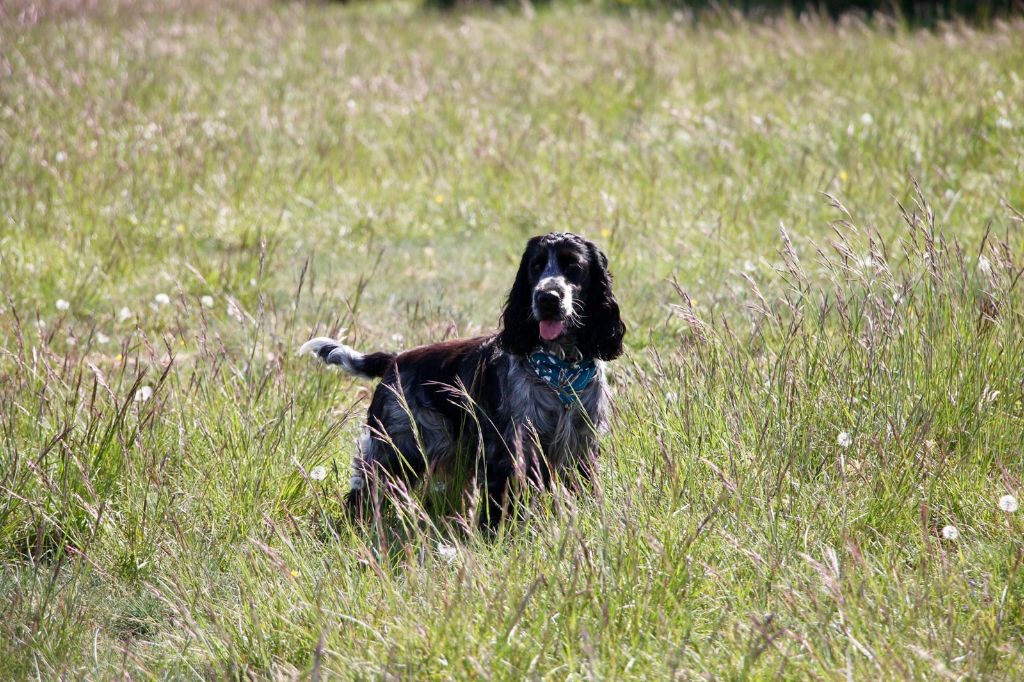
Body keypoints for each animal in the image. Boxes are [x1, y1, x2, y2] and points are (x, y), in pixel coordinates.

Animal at [299, 232, 622, 524]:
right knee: (363, 492)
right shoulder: (511, 448)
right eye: (536, 266)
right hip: (398, 448)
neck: (560, 371)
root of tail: (394, 360)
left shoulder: (581, 444)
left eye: (572, 265)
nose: (547, 298)